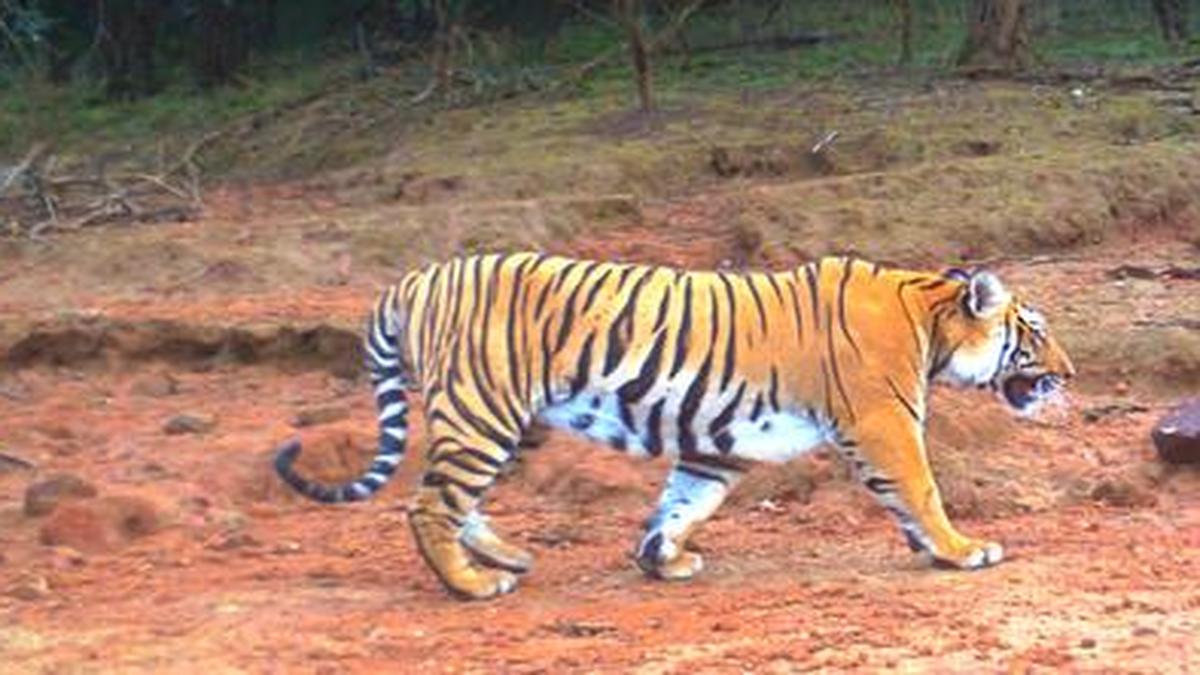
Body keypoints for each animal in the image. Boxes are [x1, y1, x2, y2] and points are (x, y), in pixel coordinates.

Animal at [275, 252, 1075, 600]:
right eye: (1034, 331)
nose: (1069, 372)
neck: (928, 316)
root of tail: (411, 279)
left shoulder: (718, 445)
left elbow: (682, 504)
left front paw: (661, 560)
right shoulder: (884, 424)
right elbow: (922, 490)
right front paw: (963, 550)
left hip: (505, 421)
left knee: (454, 497)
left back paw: (507, 556)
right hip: (484, 411)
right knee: (428, 504)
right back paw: (474, 584)